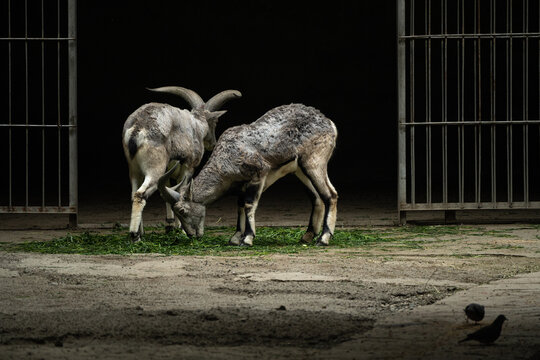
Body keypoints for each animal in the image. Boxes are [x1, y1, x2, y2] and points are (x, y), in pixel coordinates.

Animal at [123, 86, 242, 240]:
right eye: (215, 122)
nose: (213, 143)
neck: (196, 125)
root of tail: (137, 129)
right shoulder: (188, 168)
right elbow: (180, 191)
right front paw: (182, 229)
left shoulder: (168, 171)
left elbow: (167, 192)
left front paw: (169, 225)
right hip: (154, 169)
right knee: (140, 194)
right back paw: (134, 236)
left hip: (134, 170)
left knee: (133, 193)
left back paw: (140, 232)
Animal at [158, 102, 340, 246]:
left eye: (182, 210)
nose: (192, 235)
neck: (227, 156)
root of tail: (329, 123)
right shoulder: (242, 184)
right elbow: (239, 206)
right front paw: (235, 237)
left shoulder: (258, 175)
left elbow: (249, 205)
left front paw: (247, 239)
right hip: (300, 169)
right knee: (316, 197)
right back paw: (307, 236)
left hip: (314, 163)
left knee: (330, 195)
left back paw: (323, 238)